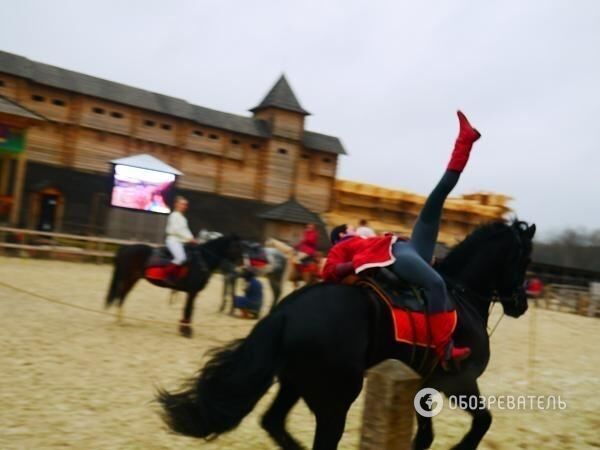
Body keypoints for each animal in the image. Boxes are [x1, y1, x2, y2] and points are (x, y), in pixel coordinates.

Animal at [104, 236, 243, 338]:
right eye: (237, 246)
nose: (242, 264)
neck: (202, 259)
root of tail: (126, 247)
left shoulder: (191, 292)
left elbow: (187, 309)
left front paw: (183, 328)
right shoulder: (192, 292)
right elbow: (188, 309)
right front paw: (186, 331)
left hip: (133, 279)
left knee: (122, 295)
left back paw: (120, 320)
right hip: (128, 278)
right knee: (121, 295)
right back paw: (120, 320)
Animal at [158, 220, 536, 448]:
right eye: (524, 259)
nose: (520, 303)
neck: (460, 292)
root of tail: (284, 313)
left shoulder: (423, 384)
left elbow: (425, 436)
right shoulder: (458, 382)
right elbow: (481, 422)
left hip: (297, 383)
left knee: (273, 421)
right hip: (336, 396)